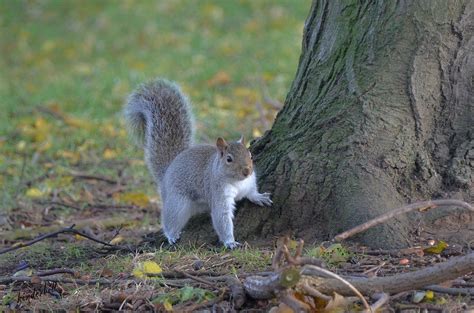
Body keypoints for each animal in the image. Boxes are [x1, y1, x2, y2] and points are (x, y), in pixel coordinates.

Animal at [123, 78, 270, 249]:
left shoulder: (249, 183)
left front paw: (259, 197)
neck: (237, 181)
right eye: (229, 159)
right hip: (177, 202)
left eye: (250, 155)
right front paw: (230, 242)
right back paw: (171, 235)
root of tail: (167, 171)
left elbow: (251, 192)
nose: (247, 171)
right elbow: (221, 217)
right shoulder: (218, 193)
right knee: (170, 218)